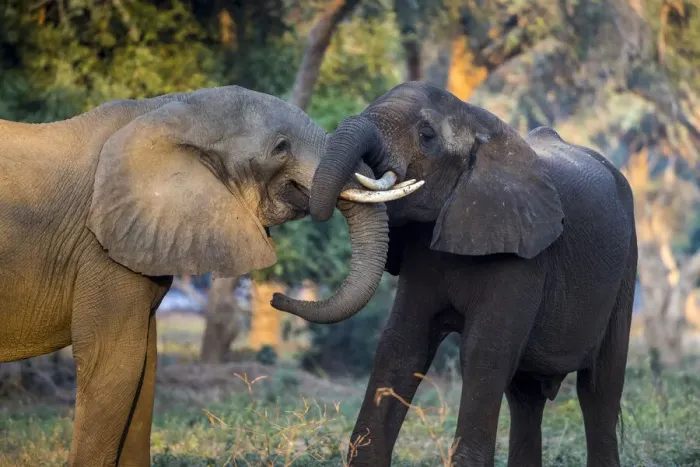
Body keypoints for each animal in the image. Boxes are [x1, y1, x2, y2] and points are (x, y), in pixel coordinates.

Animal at [0, 85, 423, 466]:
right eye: (280, 147)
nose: (276, 298)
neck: (166, 109)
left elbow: (144, 363)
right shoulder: (100, 247)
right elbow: (115, 360)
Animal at [274, 82, 638, 467]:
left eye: (427, 135)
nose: (276, 297)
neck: (479, 124)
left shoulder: (523, 253)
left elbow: (484, 353)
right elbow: (402, 346)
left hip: (627, 262)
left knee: (599, 389)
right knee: (525, 396)